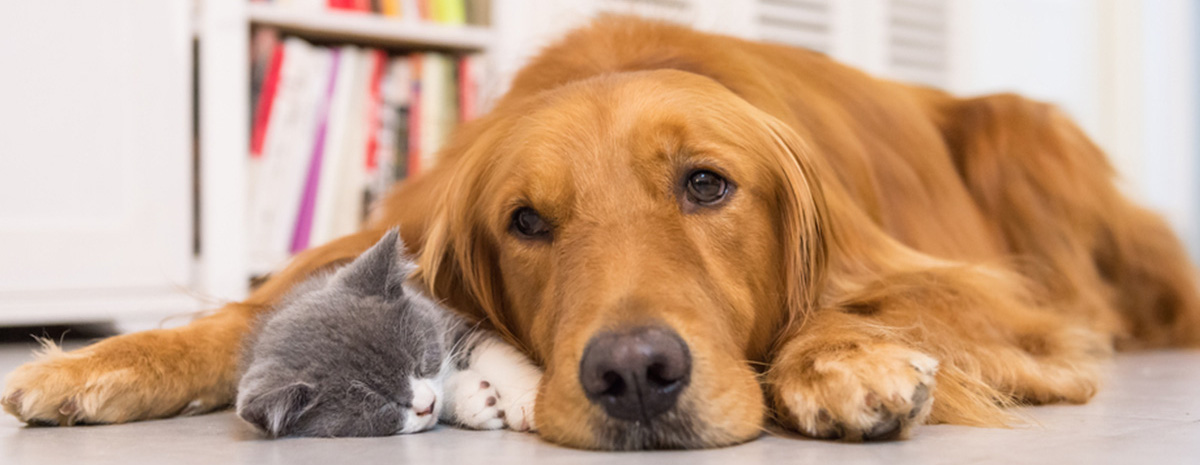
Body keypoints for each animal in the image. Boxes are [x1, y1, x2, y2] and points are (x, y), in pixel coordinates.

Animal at [236, 230, 542, 438]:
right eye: (382, 404)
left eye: (421, 362)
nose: (427, 404)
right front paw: (476, 399)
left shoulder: (449, 322)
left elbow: (496, 355)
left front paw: (529, 400)